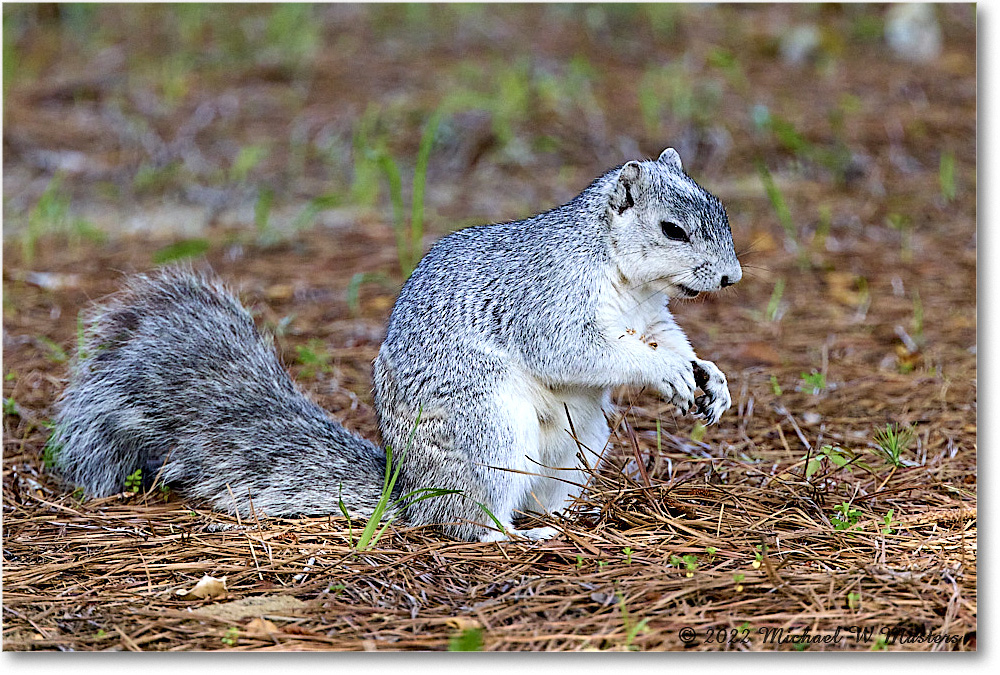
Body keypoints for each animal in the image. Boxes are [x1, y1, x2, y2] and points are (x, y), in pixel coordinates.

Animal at [52, 149, 744, 544]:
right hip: (484, 430)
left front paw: (708, 377)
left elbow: (668, 338)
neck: (623, 275)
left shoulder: (651, 314)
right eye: (672, 229)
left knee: (540, 491)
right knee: (465, 521)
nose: (732, 277)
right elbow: (580, 350)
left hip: (577, 443)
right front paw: (665, 371)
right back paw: (513, 536)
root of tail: (408, 492)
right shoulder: (546, 299)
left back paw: (561, 519)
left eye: (720, 207)